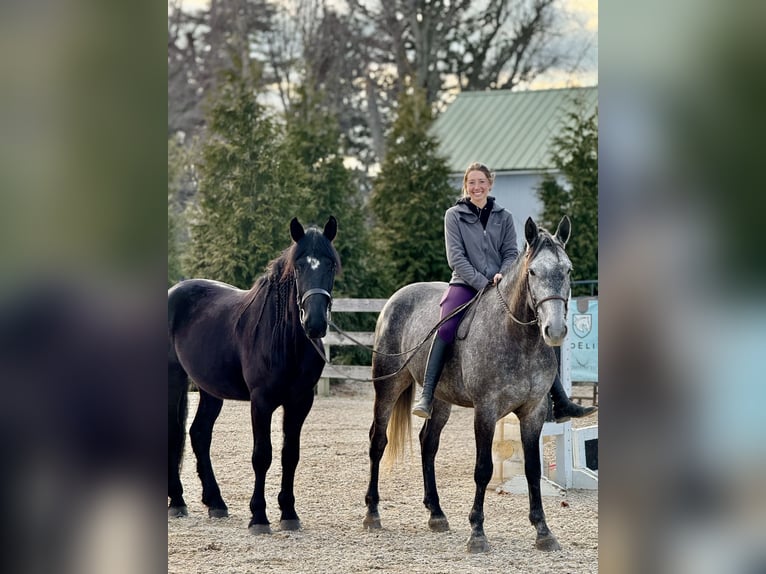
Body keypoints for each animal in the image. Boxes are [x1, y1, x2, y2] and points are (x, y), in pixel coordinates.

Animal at [168, 216, 339, 533]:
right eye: (299, 266)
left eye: (331, 265)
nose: (315, 323)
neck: (283, 339)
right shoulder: (261, 401)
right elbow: (262, 455)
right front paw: (259, 516)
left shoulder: (300, 401)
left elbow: (290, 455)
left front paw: (289, 514)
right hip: (173, 379)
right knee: (175, 432)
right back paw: (178, 501)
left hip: (210, 389)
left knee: (199, 434)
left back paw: (216, 503)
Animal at [364, 216, 573, 553]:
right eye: (532, 272)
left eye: (567, 270)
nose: (554, 330)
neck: (516, 337)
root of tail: (395, 299)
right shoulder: (485, 411)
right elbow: (483, 469)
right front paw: (477, 532)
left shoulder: (533, 413)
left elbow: (532, 470)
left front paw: (543, 531)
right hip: (388, 387)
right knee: (377, 441)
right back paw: (372, 512)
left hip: (440, 400)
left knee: (428, 444)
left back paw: (436, 513)